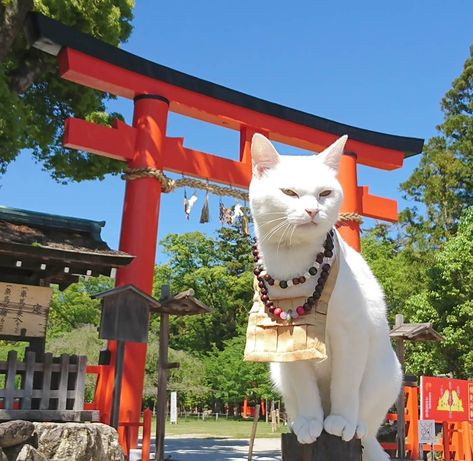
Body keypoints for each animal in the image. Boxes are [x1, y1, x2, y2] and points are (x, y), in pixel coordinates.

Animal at [245, 134, 400, 460]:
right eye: (289, 192)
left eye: (325, 193)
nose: (312, 211)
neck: (294, 263)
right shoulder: (289, 340)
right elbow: (305, 389)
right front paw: (310, 422)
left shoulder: (350, 333)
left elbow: (345, 384)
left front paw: (341, 421)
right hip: (277, 371)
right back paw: (299, 423)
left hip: (386, 373)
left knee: (369, 421)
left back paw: (357, 426)